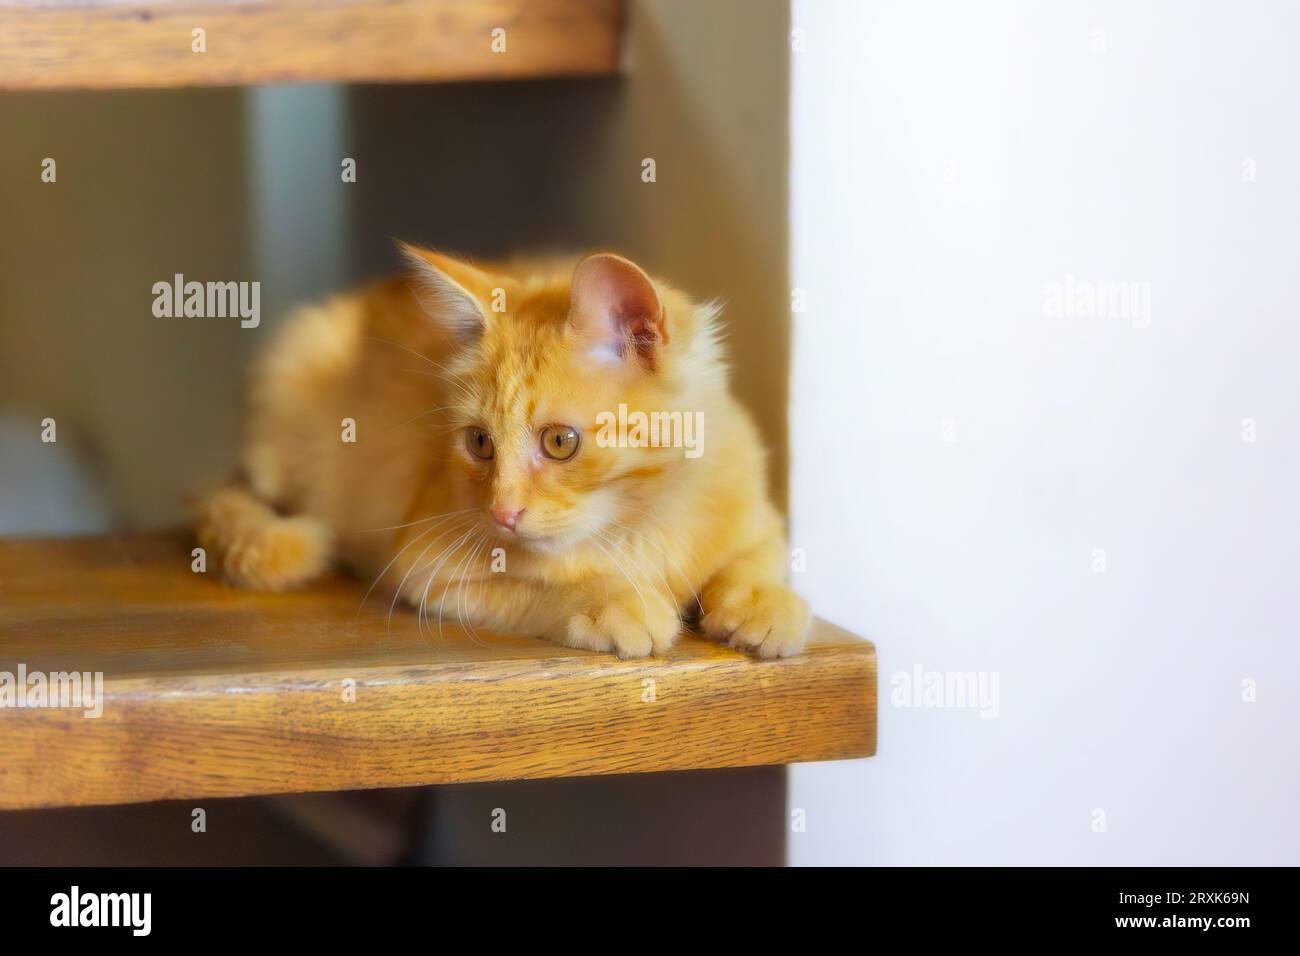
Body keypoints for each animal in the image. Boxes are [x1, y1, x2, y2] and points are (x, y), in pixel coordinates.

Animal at [193, 247, 806, 658]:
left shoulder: (760, 520)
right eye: (480, 443)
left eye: (559, 442)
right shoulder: (426, 568)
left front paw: (764, 602)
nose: (501, 513)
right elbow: (542, 587)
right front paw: (614, 602)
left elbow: (757, 560)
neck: (639, 518)